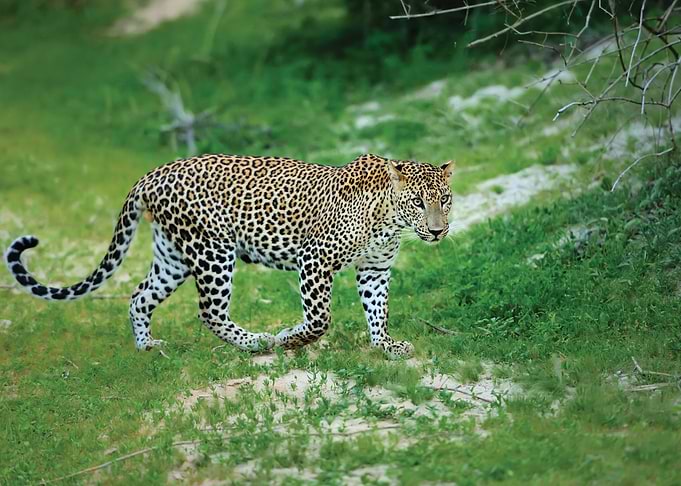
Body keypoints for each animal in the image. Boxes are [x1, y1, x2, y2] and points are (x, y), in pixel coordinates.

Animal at [4, 153, 453, 359]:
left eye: (444, 200)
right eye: (418, 201)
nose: (438, 230)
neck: (390, 221)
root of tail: (151, 174)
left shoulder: (375, 268)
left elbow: (378, 310)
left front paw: (385, 346)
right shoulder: (314, 260)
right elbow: (319, 319)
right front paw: (289, 339)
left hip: (173, 256)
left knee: (139, 296)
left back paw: (147, 346)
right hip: (212, 251)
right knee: (210, 312)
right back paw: (256, 342)